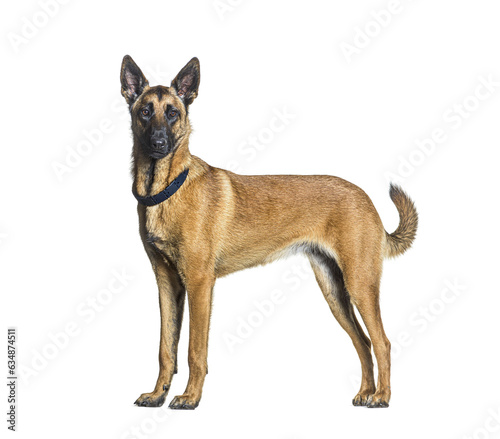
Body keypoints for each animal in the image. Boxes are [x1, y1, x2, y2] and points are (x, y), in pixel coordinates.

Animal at [121, 55, 418, 412]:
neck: (167, 189)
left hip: (360, 283)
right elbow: (166, 348)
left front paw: (190, 397)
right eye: (145, 111)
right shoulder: (166, 284)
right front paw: (158, 394)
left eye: (173, 113)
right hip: (335, 291)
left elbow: (194, 350)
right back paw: (365, 392)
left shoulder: (199, 283)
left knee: (382, 342)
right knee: (363, 342)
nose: (159, 144)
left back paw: (382, 396)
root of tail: (364, 197)